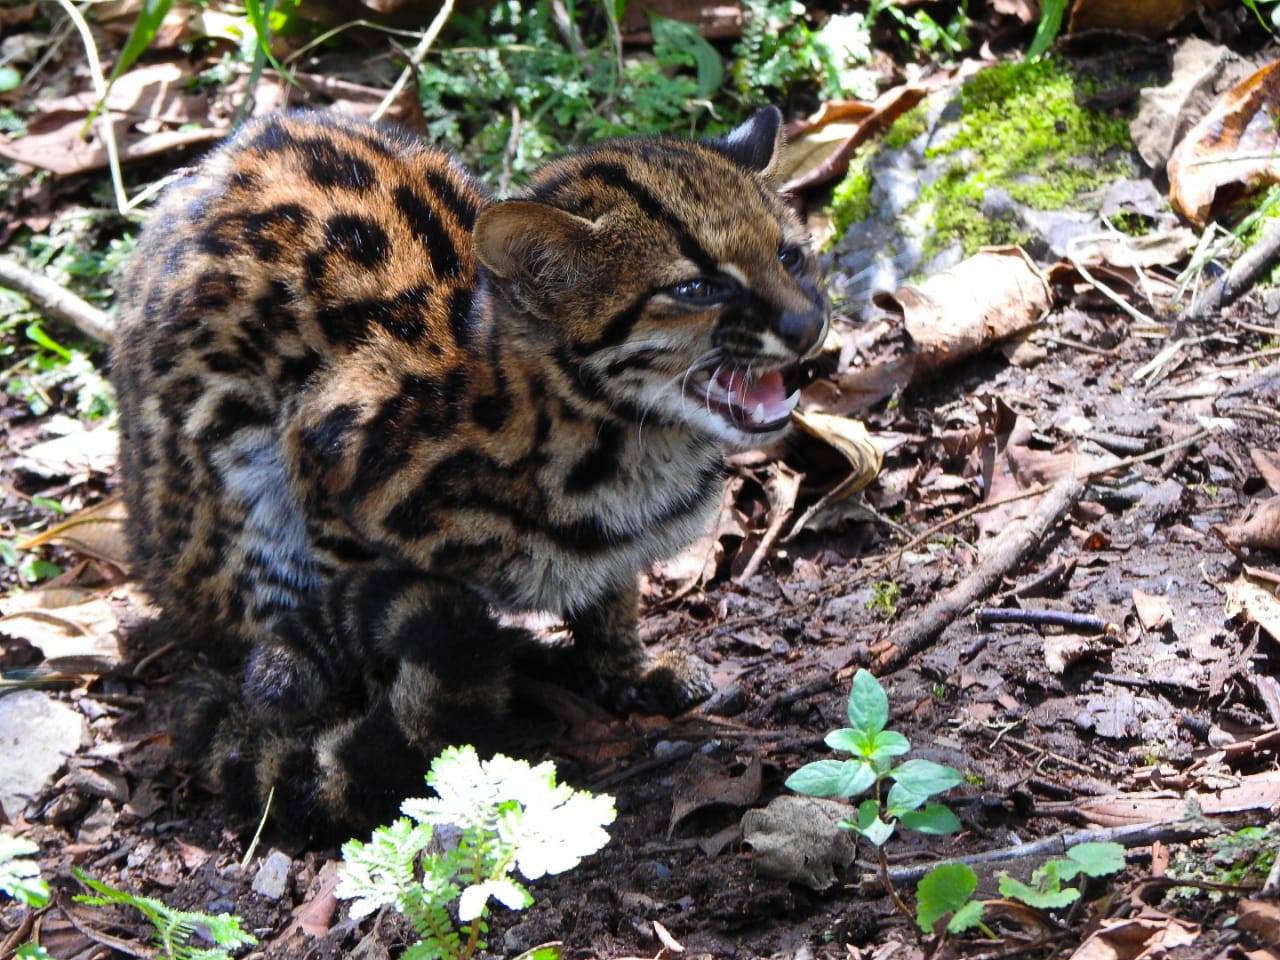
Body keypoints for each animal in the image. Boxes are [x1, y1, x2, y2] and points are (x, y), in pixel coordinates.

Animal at [112, 104, 829, 839]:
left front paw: (627, 671)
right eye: (697, 287)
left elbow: (613, 602)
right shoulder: (326, 455)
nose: (809, 322)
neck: (622, 458)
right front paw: (389, 736)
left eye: (788, 254)